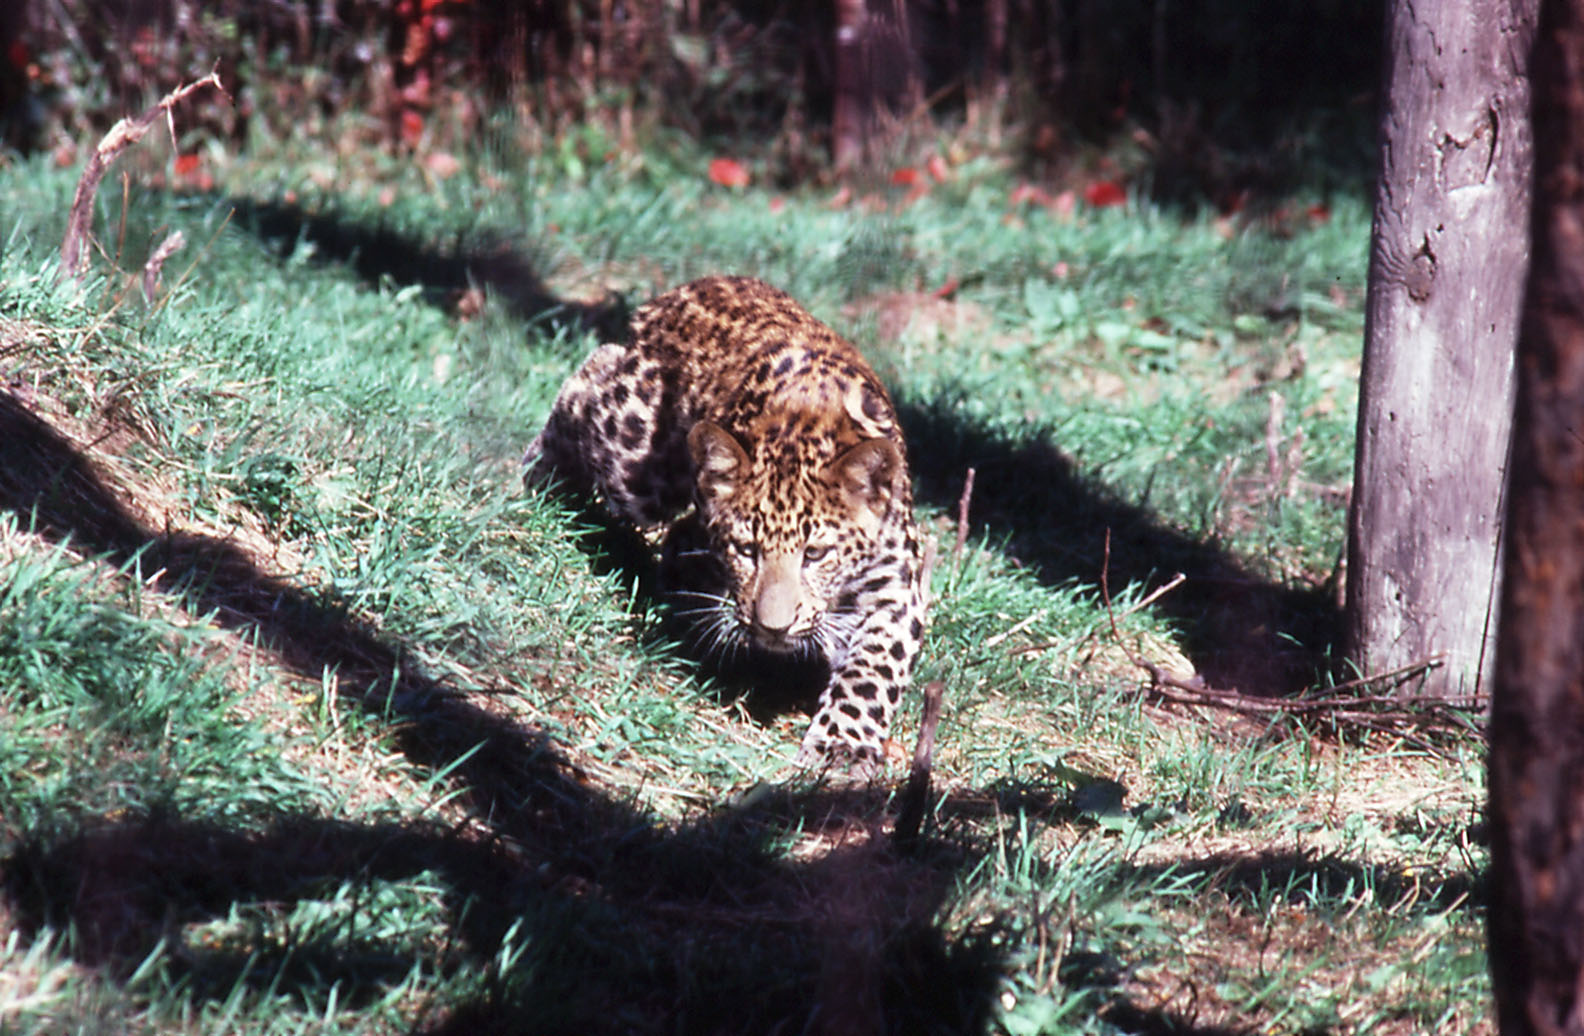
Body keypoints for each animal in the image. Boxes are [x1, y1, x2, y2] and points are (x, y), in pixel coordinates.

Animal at [523, 275, 927, 777]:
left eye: (815, 554)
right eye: (747, 550)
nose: (774, 628)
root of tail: (688, 288)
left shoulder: (895, 590)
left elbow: (873, 670)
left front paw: (843, 745)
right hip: (637, 464)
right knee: (588, 381)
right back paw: (539, 478)